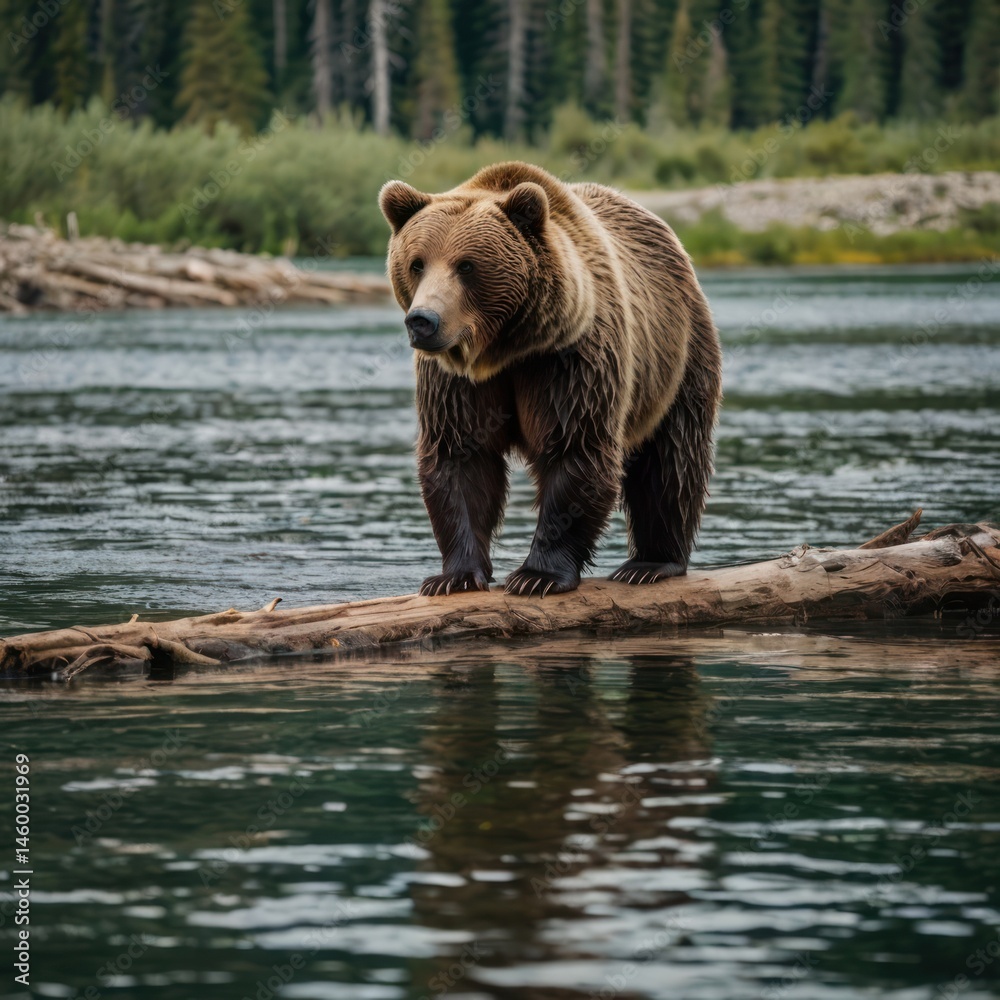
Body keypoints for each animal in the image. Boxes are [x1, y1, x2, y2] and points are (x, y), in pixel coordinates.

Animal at [378, 161, 722, 598]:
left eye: (466, 265)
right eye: (417, 263)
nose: (423, 321)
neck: (505, 350)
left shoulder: (569, 360)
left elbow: (575, 450)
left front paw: (536, 576)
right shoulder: (455, 380)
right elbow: (460, 456)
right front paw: (453, 576)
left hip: (679, 354)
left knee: (672, 459)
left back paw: (651, 563)